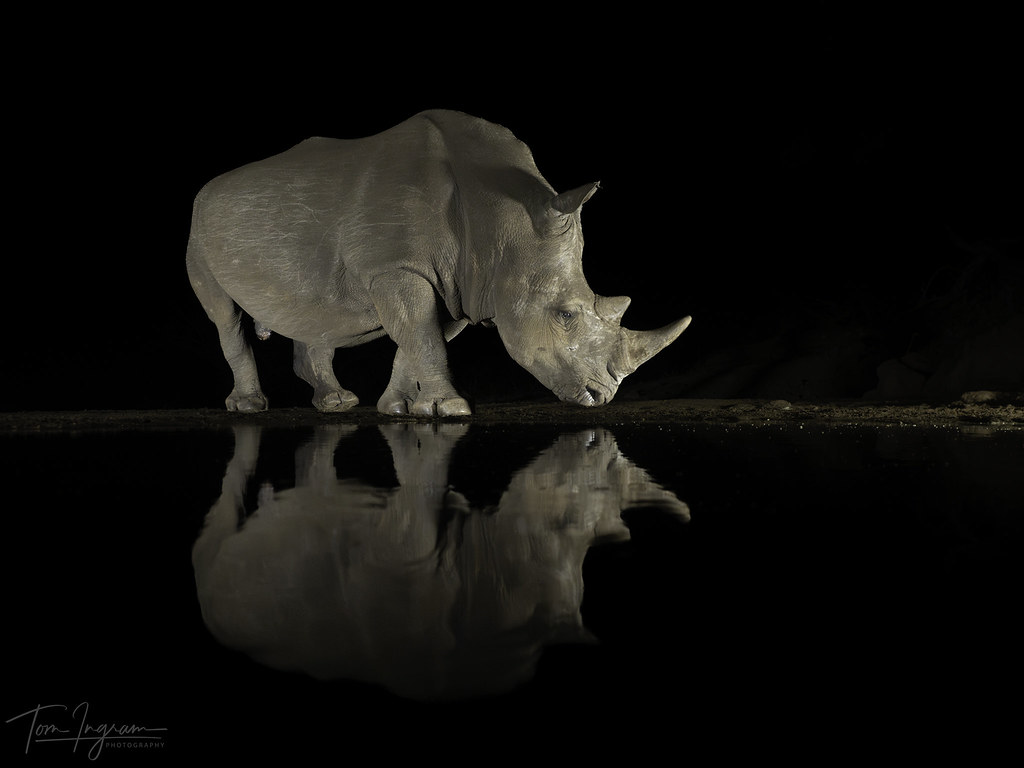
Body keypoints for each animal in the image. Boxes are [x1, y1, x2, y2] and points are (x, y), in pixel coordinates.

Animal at [186, 109, 691, 415]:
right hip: (198, 226)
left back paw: (337, 403)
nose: (601, 397)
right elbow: (421, 334)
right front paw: (452, 410)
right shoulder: (398, 267)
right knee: (224, 315)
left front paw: (398, 409)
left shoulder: (461, 282)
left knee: (317, 313)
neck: (504, 220)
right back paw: (250, 406)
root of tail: (211, 187)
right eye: (566, 315)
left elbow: (420, 337)